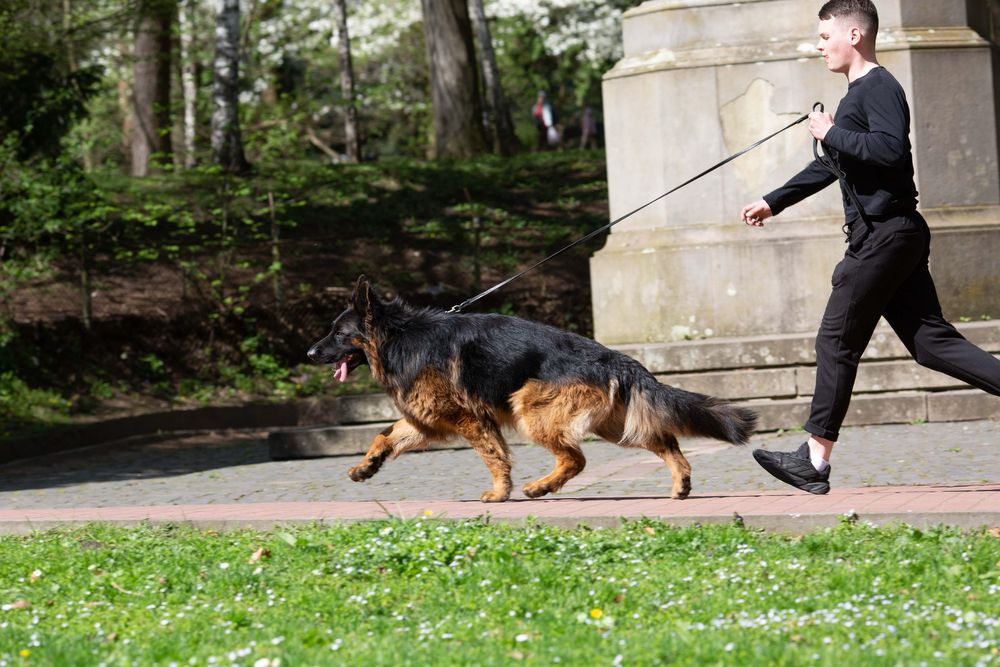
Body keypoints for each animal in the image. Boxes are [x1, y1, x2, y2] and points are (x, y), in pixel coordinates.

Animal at [308, 276, 752, 500]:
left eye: (338, 333)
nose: (310, 352)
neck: (399, 337)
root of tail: (615, 358)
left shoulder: (469, 420)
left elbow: (493, 457)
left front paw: (499, 493)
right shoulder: (426, 423)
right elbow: (384, 436)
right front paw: (365, 466)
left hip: (530, 410)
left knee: (576, 459)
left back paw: (541, 487)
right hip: (612, 425)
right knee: (665, 441)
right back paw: (681, 483)